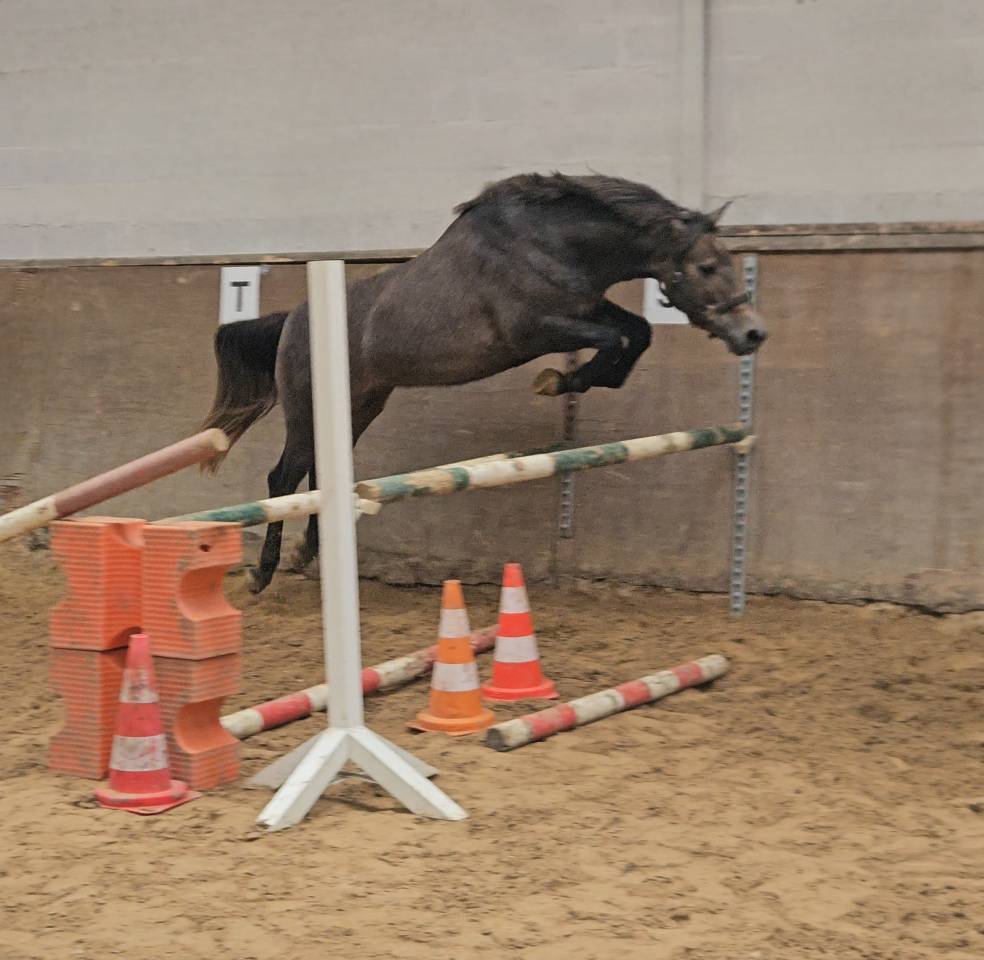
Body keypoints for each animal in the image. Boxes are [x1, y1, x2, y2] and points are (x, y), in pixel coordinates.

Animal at [201, 172, 767, 594]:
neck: (552, 244)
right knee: (283, 479)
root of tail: (292, 319)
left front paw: (575, 381)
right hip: (307, 409)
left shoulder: (586, 308)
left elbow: (638, 332)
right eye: (707, 266)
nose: (753, 333)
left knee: (320, 476)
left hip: (360, 405)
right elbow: (613, 339)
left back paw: (308, 555)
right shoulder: (534, 329)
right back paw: (263, 575)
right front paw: (557, 380)